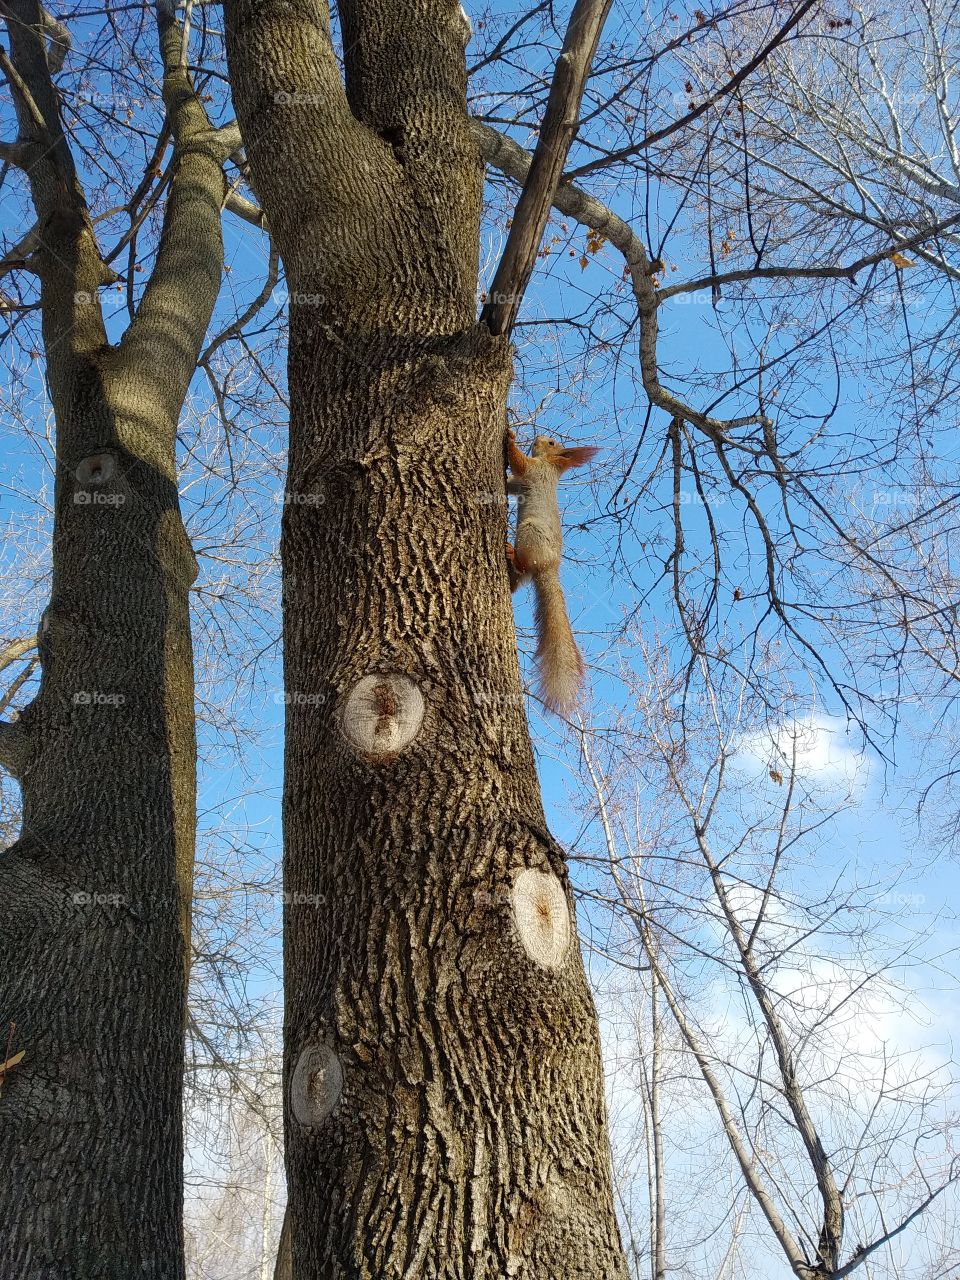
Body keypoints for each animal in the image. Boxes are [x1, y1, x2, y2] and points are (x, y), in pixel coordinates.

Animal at [505, 429, 599, 714]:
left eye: (551, 442)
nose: (538, 436)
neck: (550, 465)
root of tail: (548, 568)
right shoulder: (521, 482)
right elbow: (510, 483)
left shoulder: (534, 472)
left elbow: (519, 461)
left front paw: (510, 437)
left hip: (529, 532)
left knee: (523, 565)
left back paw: (511, 554)